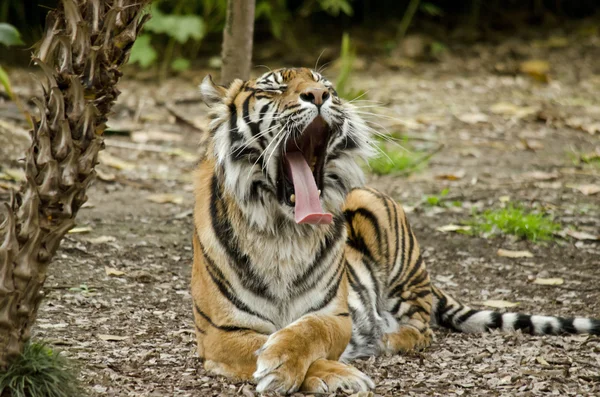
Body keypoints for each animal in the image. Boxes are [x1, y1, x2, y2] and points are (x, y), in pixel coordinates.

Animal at [190, 66, 596, 392]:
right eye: (273, 89)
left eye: (326, 85)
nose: (319, 96)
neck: (285, 233)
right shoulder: (221, 335)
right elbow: (264, 346)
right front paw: (321, 372)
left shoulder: (334, 316)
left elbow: (307, 332)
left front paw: (294, 364)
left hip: (378, 214)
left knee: (421, 327)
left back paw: (385, 338)